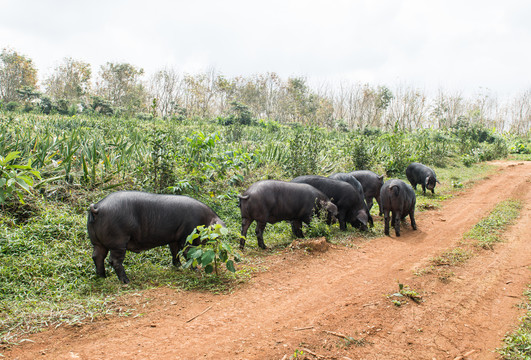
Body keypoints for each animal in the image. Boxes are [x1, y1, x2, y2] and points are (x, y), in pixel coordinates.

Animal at [85, 191, 227, 284]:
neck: (204, 220)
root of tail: (97, 207)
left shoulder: (173, 238)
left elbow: (174, 252)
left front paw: (178, 266)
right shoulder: (187, 235)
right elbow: (188, 252)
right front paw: (195, 269)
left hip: (97, 242)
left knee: (97, 256)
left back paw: (102, 277)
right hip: (118, 241)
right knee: (113, 260)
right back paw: (126, 281)